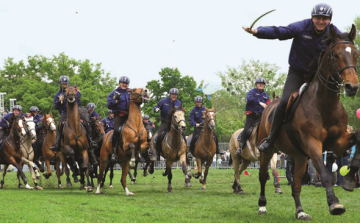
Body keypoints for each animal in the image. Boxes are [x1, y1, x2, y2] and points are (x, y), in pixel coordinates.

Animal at [256, 24, 360, 220]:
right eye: (336, 55)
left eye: (356, 54)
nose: (352, 87)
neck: (325, 104)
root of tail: (269, 105)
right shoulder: (313, 143)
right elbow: (325, 174)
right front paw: (334, 203)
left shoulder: (337, 142)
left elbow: (357, 137)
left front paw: (349, 179)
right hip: (268, 152)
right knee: (263, 176)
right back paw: (262, 205)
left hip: (299, 156)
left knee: (296, 185)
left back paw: (300, 211)